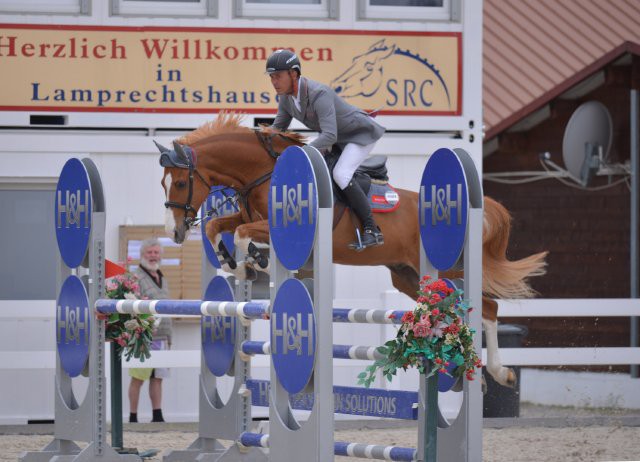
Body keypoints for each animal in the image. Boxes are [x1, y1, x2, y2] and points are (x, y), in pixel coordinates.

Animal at [159, 113, 544, 388]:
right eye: (164, 183)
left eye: (178, 182)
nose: (174, 232)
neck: (263, 173)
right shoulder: (247, 216)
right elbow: (217, 228)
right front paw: (238, 266)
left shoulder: (271, 225)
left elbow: (240, 234)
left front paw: (256, 262)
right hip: (408, 276)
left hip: (451, 268)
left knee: (489, 308)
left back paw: (500, 373)